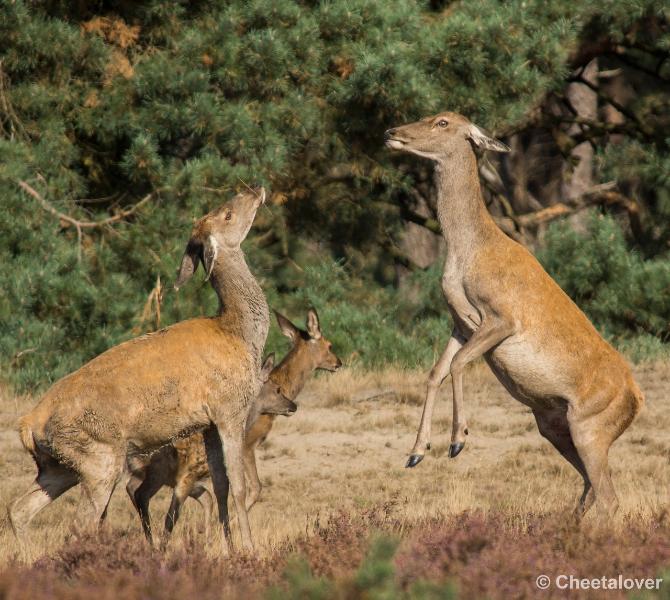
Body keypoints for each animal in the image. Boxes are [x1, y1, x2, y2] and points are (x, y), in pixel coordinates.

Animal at [8, 189, 270, 552]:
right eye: (228, 214)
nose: (254, 190)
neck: (239, 333)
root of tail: (27, 424)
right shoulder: (230, 407)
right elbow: (240, 487)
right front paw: (250, 550)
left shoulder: (208, 423)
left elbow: (221, 486)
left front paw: (228, 550)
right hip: (99, 456)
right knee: (79, 523)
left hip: (58, 466)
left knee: (19, 508)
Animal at [388, 112, 644, 516]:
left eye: (442, 121)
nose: (392, 132)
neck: (466, 254)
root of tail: (637, 401)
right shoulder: (460, 323)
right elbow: (435, 373)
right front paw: (416, 453)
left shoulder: (502, 316)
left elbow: (458, 363)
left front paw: (457, 441)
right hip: (554, 425)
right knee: (590, 488)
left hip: (591, 427)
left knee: (609, 497)